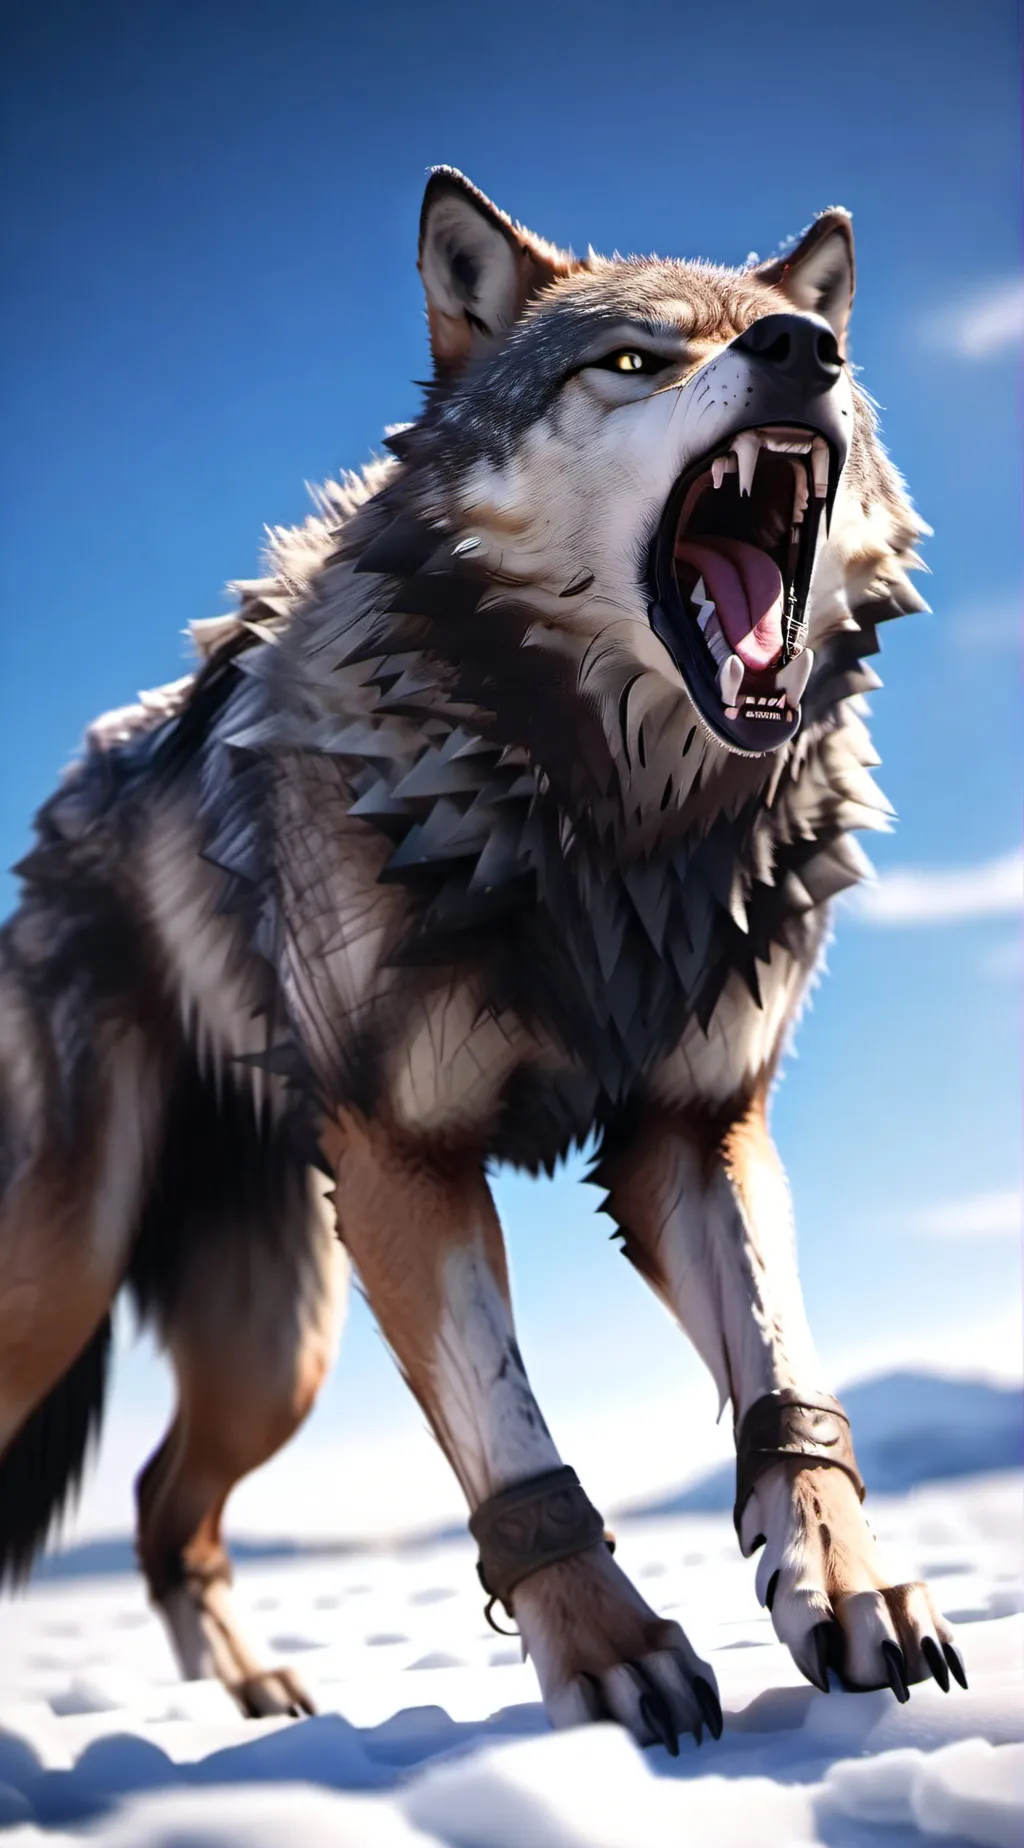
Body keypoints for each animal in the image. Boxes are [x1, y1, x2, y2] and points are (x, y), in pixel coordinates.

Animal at [0, 168, 963, 1750]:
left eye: (809, 346)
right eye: (634, 359)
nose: (801, 352)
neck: (613, 827)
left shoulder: (699, 1128)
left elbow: (786, 1378)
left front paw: (848, 1582)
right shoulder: (408, 1161)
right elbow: (506, 1427)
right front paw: (615, 1653)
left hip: (274, 1349)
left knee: (162, 1502)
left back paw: (262, 1699)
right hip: (69, 1280)